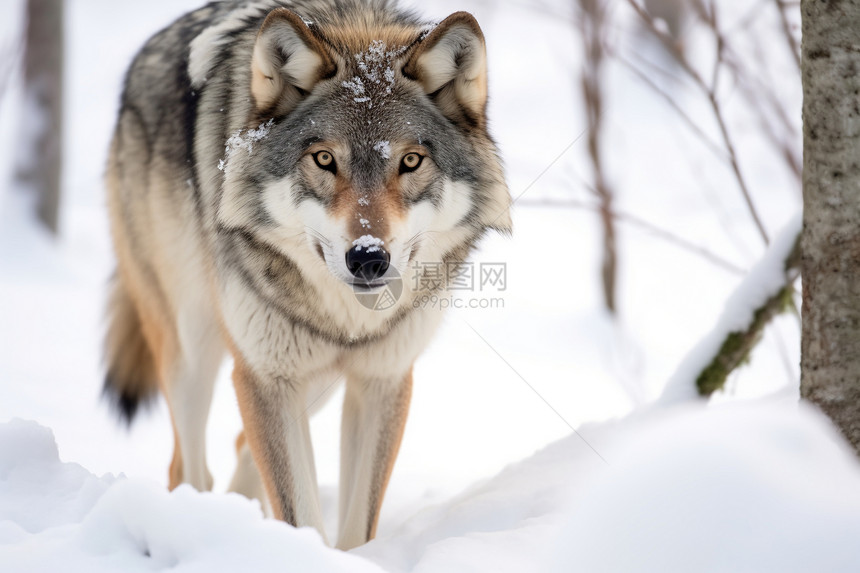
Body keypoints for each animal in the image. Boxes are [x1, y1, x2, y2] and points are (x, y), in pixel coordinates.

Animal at [105, 0, 512, 548]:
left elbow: (357, 526)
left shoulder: (381, 379)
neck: (348, 319)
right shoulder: (266, 375)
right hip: (194, 349)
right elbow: (299, 511)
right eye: (324, 159)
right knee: (187, 469)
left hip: (313, 382)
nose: (368, 257)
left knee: (240, 447)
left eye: (410, 161)